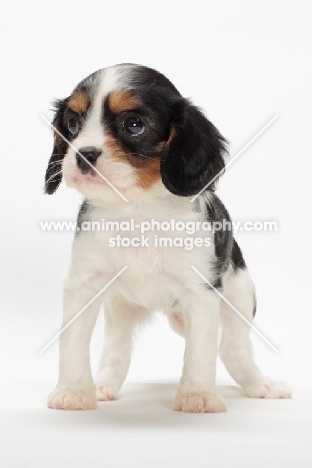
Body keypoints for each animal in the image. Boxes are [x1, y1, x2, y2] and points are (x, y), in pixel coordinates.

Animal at [45, 64, 292, 412]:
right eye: (72, 125)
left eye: (134, 125)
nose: (83, 154)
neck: (138, 208)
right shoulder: (83, 285)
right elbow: (73, 343)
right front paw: (74, 391)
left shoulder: (201, 293)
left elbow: (201, 351)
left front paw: (197, 394)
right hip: (120, 306)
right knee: (116, 349)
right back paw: (105, 384)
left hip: (240, 294)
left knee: (234, 349)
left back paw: (260, 384)